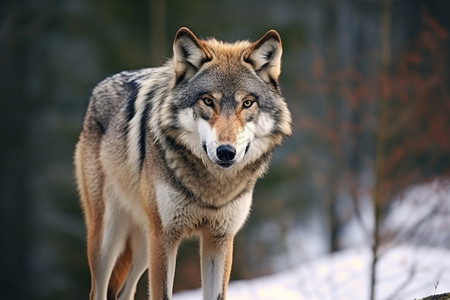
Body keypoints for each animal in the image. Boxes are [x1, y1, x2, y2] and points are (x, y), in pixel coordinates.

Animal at [74, 27, 292, 298]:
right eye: (208, 101)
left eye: (247, 103)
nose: (226, 152)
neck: (212, 190)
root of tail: (97, 90)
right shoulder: (165, 236)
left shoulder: (220, 238)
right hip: (109, 239)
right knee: (99, 290)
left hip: (144, 243)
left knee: (125, 291)